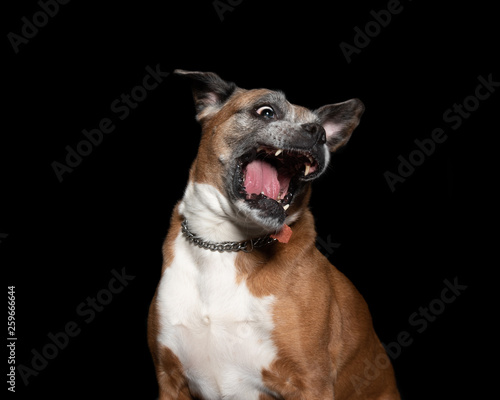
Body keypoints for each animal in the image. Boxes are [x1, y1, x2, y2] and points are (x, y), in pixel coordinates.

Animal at [146, 70, 400, 398]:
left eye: (324, 134)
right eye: (266, 111)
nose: (318, 133)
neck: (226, 243)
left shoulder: (311, 383)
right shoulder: (170, 380)